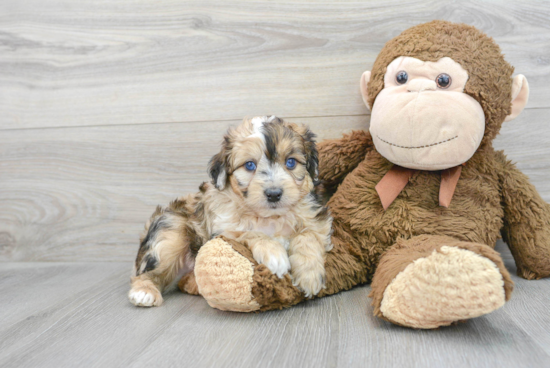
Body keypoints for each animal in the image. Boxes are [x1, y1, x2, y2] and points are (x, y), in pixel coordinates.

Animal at [129, 116, 334, 306]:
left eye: (291, 162)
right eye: (250, 165)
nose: (274, 194)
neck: (270, 217)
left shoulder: (316, 219)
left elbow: (308, 235)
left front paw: (310, 275)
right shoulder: (222, 230)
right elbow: (249, 232)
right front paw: (274, 253)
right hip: (171, 231)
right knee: (146, 272)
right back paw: (144, 291)